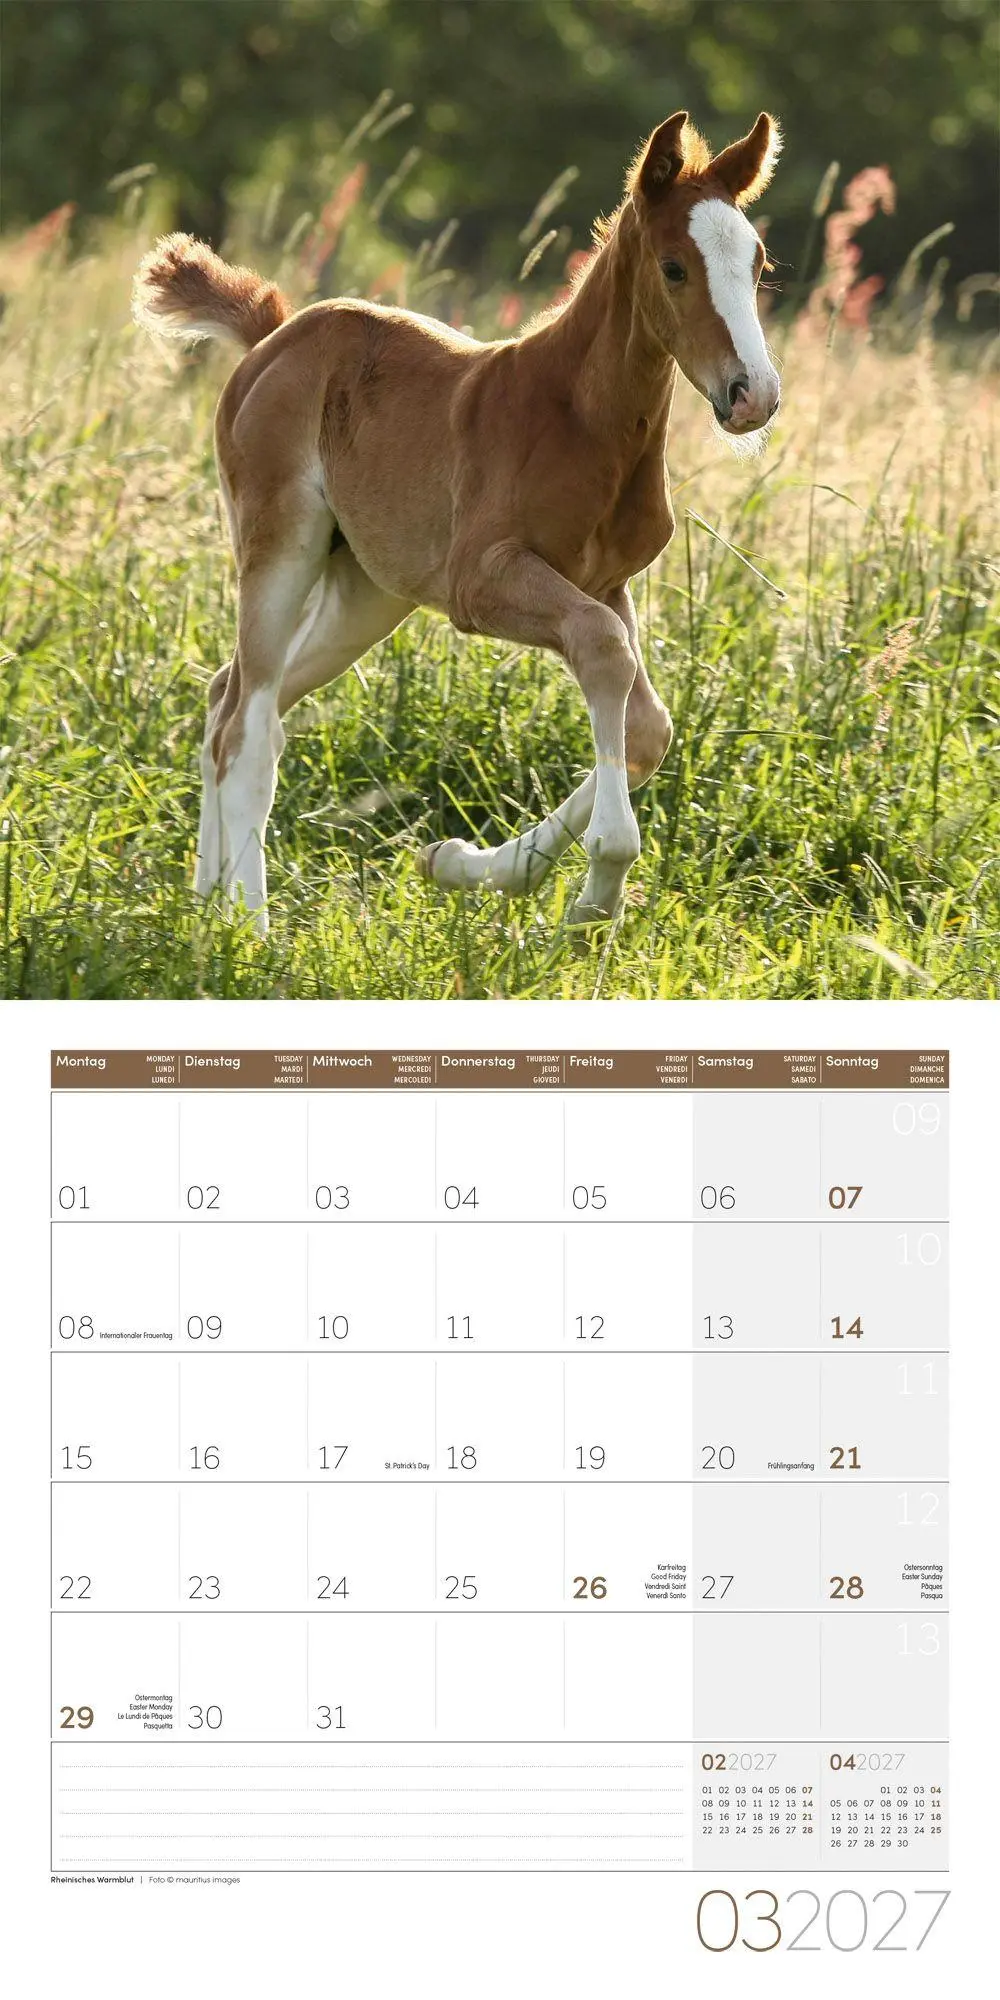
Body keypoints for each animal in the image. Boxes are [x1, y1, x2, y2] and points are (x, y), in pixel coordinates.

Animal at [134, 109, 781, 934]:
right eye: (674, 267)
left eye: (757, 264)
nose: (752, 394)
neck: (578, 417)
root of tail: (274, 335)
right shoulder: (484, 581)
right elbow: (605, 653)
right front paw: (598, 885)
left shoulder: (606, 582)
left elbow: (647, 726)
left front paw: (465, 863)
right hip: (281, 543)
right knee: (249, 726)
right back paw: (249, 926)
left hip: (368, 592)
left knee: (229, 698)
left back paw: (209, 904)